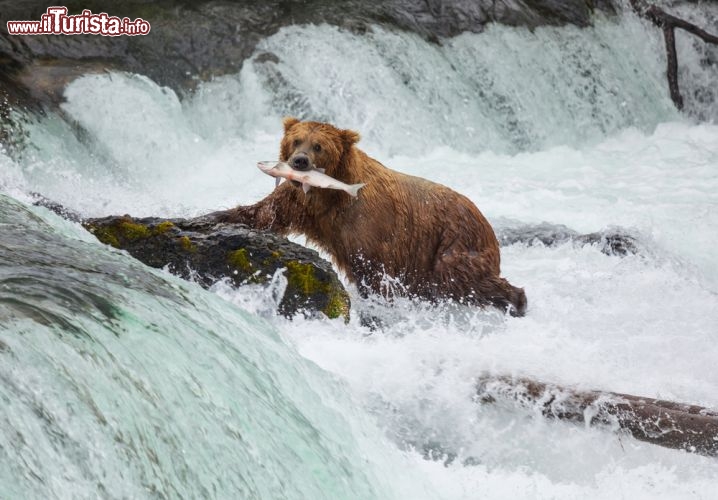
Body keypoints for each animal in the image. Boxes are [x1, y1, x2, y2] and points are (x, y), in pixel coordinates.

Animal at [214, 118, 528, 316]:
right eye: (296, 140)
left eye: (318, 146)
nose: (299, 161)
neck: (329, 193)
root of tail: (484, 220)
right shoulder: (300, 202)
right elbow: (264, 213)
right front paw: (215, 216)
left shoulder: (368, 223)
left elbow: (373, 269)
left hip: (452, 242)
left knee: (461, 278)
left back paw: (517, 301)